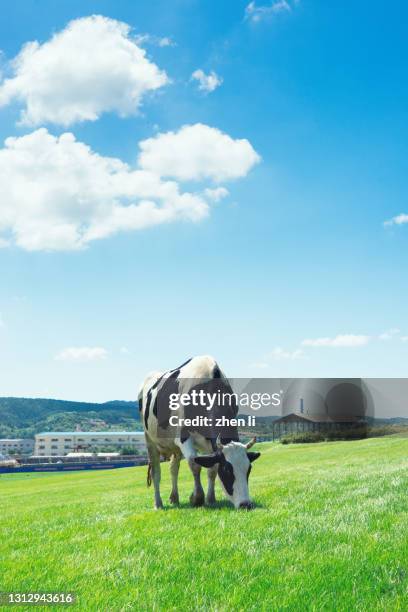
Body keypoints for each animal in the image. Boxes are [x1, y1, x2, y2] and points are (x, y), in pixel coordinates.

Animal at [139, 356, 260, 510]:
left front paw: (211, 498)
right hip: (150, 440)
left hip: (175, 448)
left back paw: (174, 498)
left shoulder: (210, 442)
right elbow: (195, 464)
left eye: (249, 469)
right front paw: (197, 498)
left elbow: (212, 469)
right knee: (156, 472)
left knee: (173, 468)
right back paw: (158, 503)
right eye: (227, 470)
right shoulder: (183, 437)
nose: (246, 504)